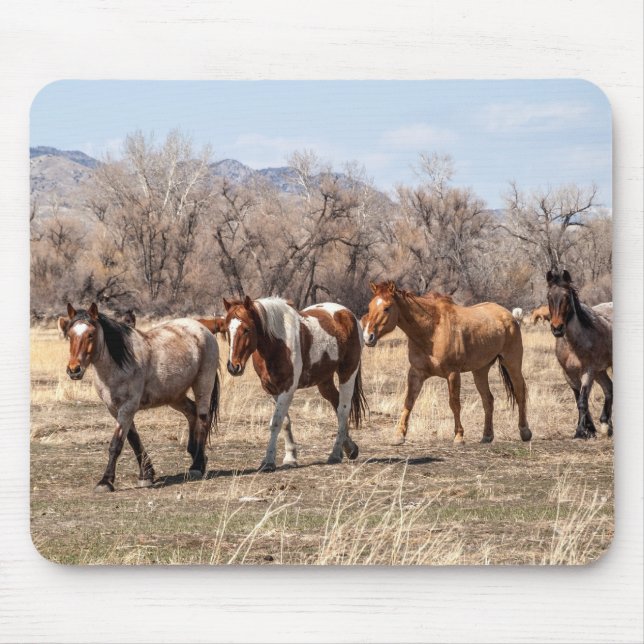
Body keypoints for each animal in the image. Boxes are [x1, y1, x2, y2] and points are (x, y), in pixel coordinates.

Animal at [60, 302, 220, 491]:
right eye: (69, 335)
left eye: (90, 334)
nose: (74, 370)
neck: (118, 365)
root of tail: (203, 329)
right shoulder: (115, 408)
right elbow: (133, 439)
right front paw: (147, 474)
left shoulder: (128, 407)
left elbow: (116, 444)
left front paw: (105, 481)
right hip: (175, 395)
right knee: (191, 413)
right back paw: (196, 456)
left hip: (203, 385)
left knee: (203, 418)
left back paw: (197, 465)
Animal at [223, 296, 367, 471]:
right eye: (226, 330)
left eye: (246, 329)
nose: (233, 367)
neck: (276, 344)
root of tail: (347, 313)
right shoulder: (272, 389)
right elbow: (285, 422)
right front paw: (290, 457)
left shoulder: (287, 389)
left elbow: (276, 422)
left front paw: (268, 461)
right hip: (324, 381)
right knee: (336, 404)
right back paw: (348, 449)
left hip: (348, 373)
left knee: (343, 410)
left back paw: (334, 453)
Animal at [362, 281, 532, 445]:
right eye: (370, 307)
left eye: (387, 308)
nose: (368, 337)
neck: (432, 331)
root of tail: (508, 315)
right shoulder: (416, 372)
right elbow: (408, 402)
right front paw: (398, 436)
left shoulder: (452, 373)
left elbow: (454, 403)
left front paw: (459, 436)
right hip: (480, 370)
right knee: (488, 399)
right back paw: (487, 436)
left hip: (512, 363)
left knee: (520, 392)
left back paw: (525, 431)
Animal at [546, 270, 613, 439]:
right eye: (549, 297)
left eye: (566, 297)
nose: (557, 328)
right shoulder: (568, 374)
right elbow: (578, 400)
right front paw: (589, 429)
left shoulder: (588, 371)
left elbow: (583, 400)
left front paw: (581, 431)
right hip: (600, 371)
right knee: (609, 388)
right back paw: (606, 425)